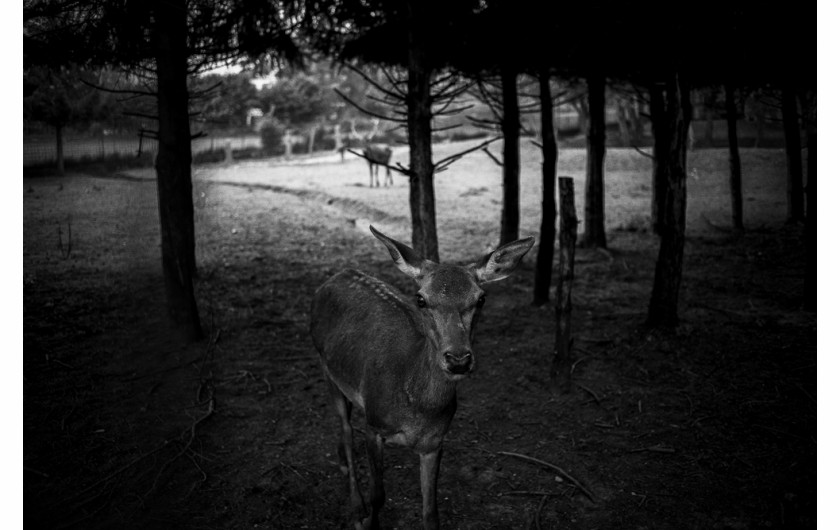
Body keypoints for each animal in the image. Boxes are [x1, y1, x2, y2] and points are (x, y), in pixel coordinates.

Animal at [308, 225, 532, 524]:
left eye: (481, 298)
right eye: (421, 299)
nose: (458, 359)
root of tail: (333, 278)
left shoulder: (435, 442)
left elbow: (430, 511)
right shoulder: (374, 426)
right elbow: (378, 495)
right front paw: (367, 521)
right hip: (325, 366)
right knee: (345, 428)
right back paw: (355, 504)